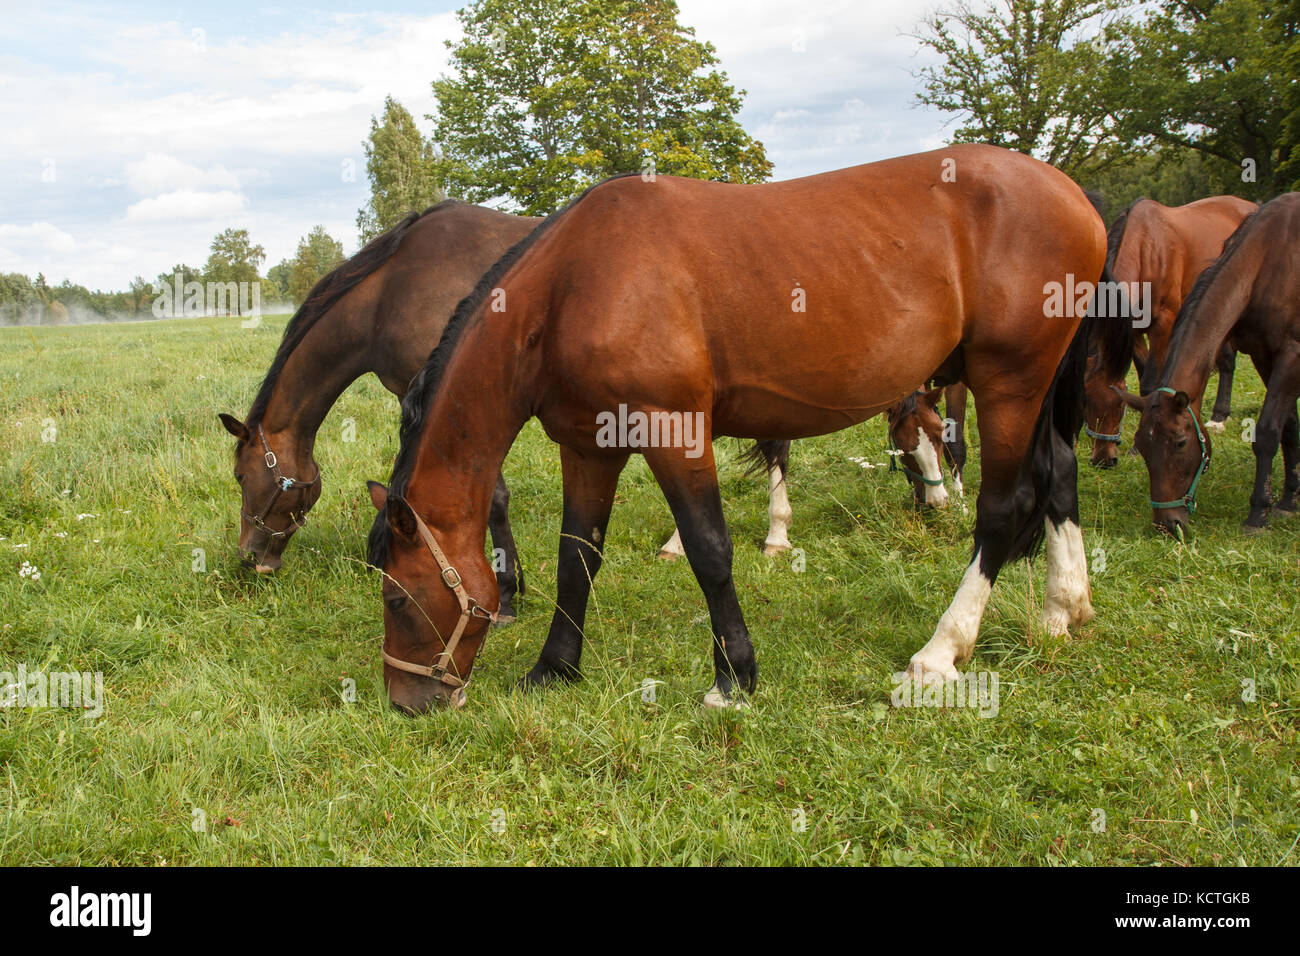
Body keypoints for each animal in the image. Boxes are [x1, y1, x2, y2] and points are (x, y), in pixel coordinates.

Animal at [1083, 196, 1257, 467]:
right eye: (1085, 402)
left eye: (1118, 406)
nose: (1103, 459)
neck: (1146, 248)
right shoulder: (1134, 331)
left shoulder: (1163, 324)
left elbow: (1150, 382)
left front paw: (1137, 448)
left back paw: (1219, 416)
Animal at [1119, 193, 1300, 535]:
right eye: (1144, 447)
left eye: (1180, 443)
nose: (1168, 524)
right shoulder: (1264, 355)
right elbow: (1289, 426)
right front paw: (1289, 499)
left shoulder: (1292, 354)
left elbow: (1268, 430)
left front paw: (1259, 513)